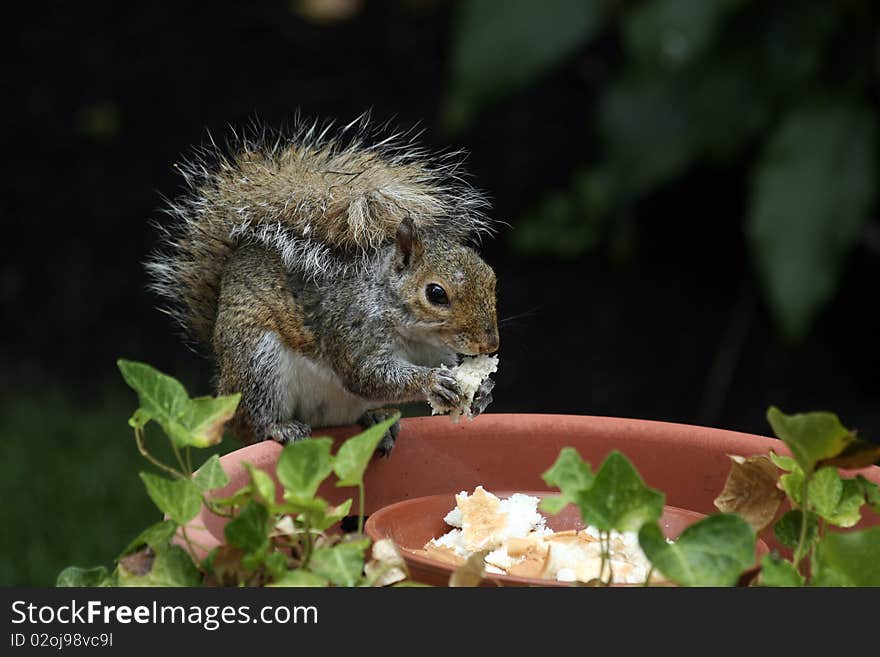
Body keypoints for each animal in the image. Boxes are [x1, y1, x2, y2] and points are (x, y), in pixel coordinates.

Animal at [148, 118, 498, 454]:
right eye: (436, 294)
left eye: (491, 277)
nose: (489, 344)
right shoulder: (350, 328)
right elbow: (369, 375)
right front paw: (432, 382)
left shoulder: (435, 350)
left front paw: (482, 391)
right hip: (257, 362)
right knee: (255, 420)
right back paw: (280, 428)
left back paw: (377, 419)